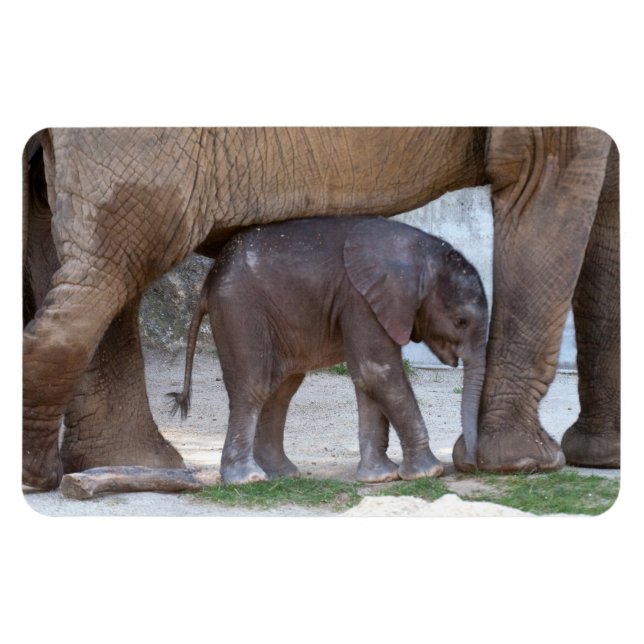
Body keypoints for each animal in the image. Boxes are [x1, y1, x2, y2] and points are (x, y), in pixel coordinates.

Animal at [169, 216, 488, 484]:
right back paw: (248, 479)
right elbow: (377, 373)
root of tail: (209, 280)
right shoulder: (361, 300)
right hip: (239, 309)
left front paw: (380, 477)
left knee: (281, 390)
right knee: (254, 386)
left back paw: (282, 474)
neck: (420, 253)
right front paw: (428, 473)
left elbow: (367, 380)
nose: (468, 461)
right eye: (460, 321)